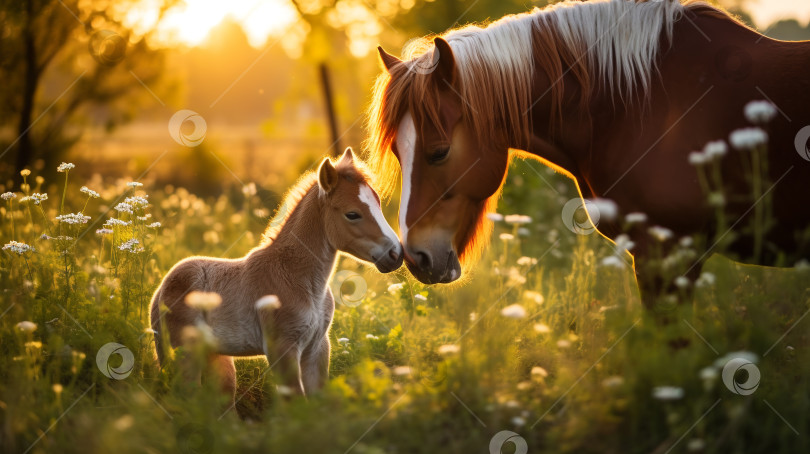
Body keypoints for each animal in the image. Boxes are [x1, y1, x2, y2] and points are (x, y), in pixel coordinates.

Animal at [148, 150, 400, 398]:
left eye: (378, 203)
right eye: (352, 214)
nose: (396, 253)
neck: (299, 279)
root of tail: (161, 288)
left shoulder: (317, 348)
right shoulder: (283, 349)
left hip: (217, 359)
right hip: (182, 356)